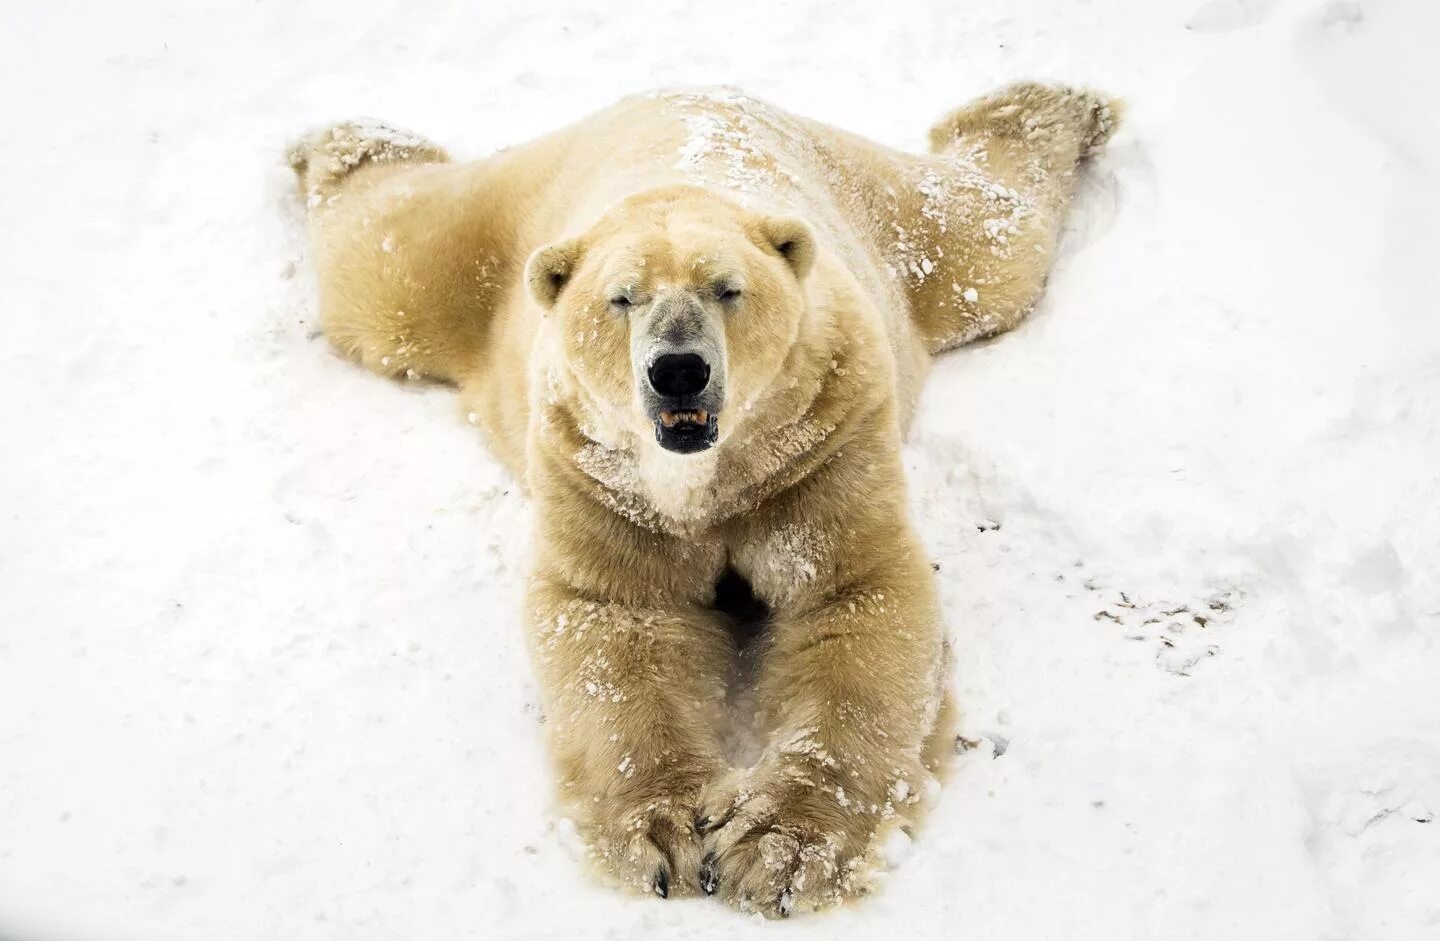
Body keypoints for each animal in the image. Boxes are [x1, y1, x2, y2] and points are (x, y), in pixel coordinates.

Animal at [286, 82, 1117, 916]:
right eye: (621, 298)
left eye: (728, 289)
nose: (678, 370)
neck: (710, 475)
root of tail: (686, 91)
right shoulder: (599, 473)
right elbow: (620, 617)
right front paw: (667, 834)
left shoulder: (821, 438)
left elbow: (852, 593)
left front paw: (779, 849)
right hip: (494, 228)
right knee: (386, 264)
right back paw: (342, 138)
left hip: (879, 208)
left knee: (989, 236)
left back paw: (1059, 105)